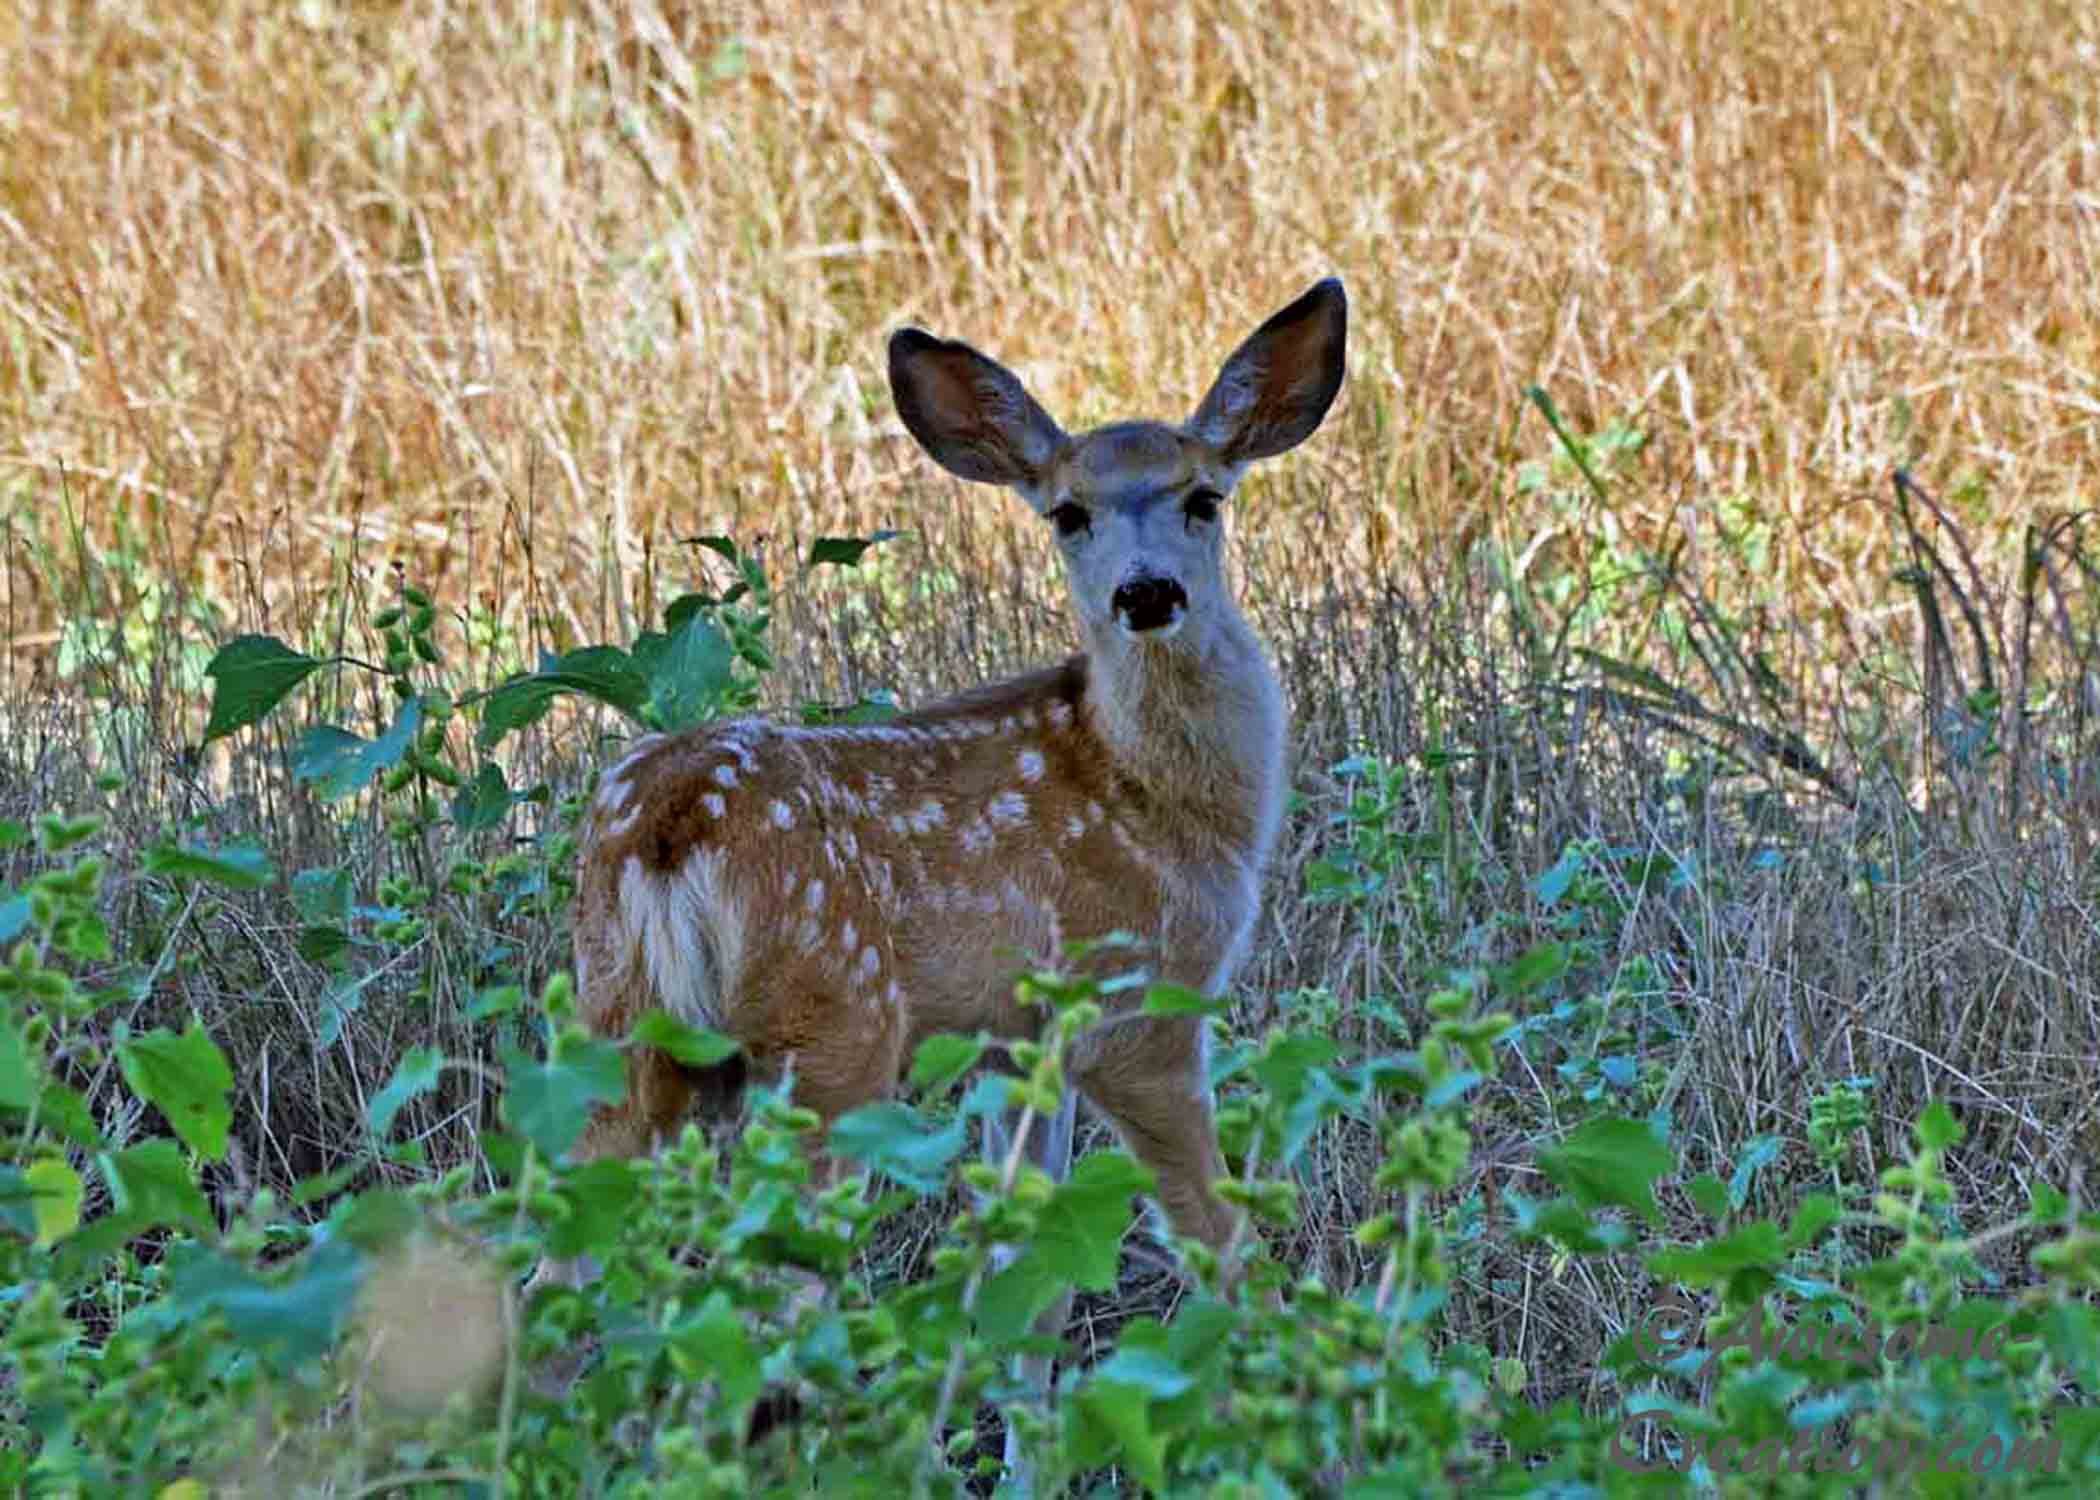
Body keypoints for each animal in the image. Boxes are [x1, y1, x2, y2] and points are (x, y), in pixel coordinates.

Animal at [527, 277, 1347, 1478]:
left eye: (1204, 498)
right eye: (1068, 513)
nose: (1147, 594)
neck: (1144, 784)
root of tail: (672, 828)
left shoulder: (1019, 1034)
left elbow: (1025, 1281)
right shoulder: (1137, 1004)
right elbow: (1220, 1243)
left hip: (620, 1035)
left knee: (548, 1303)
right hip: (830, 1036)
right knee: (757, 1320)